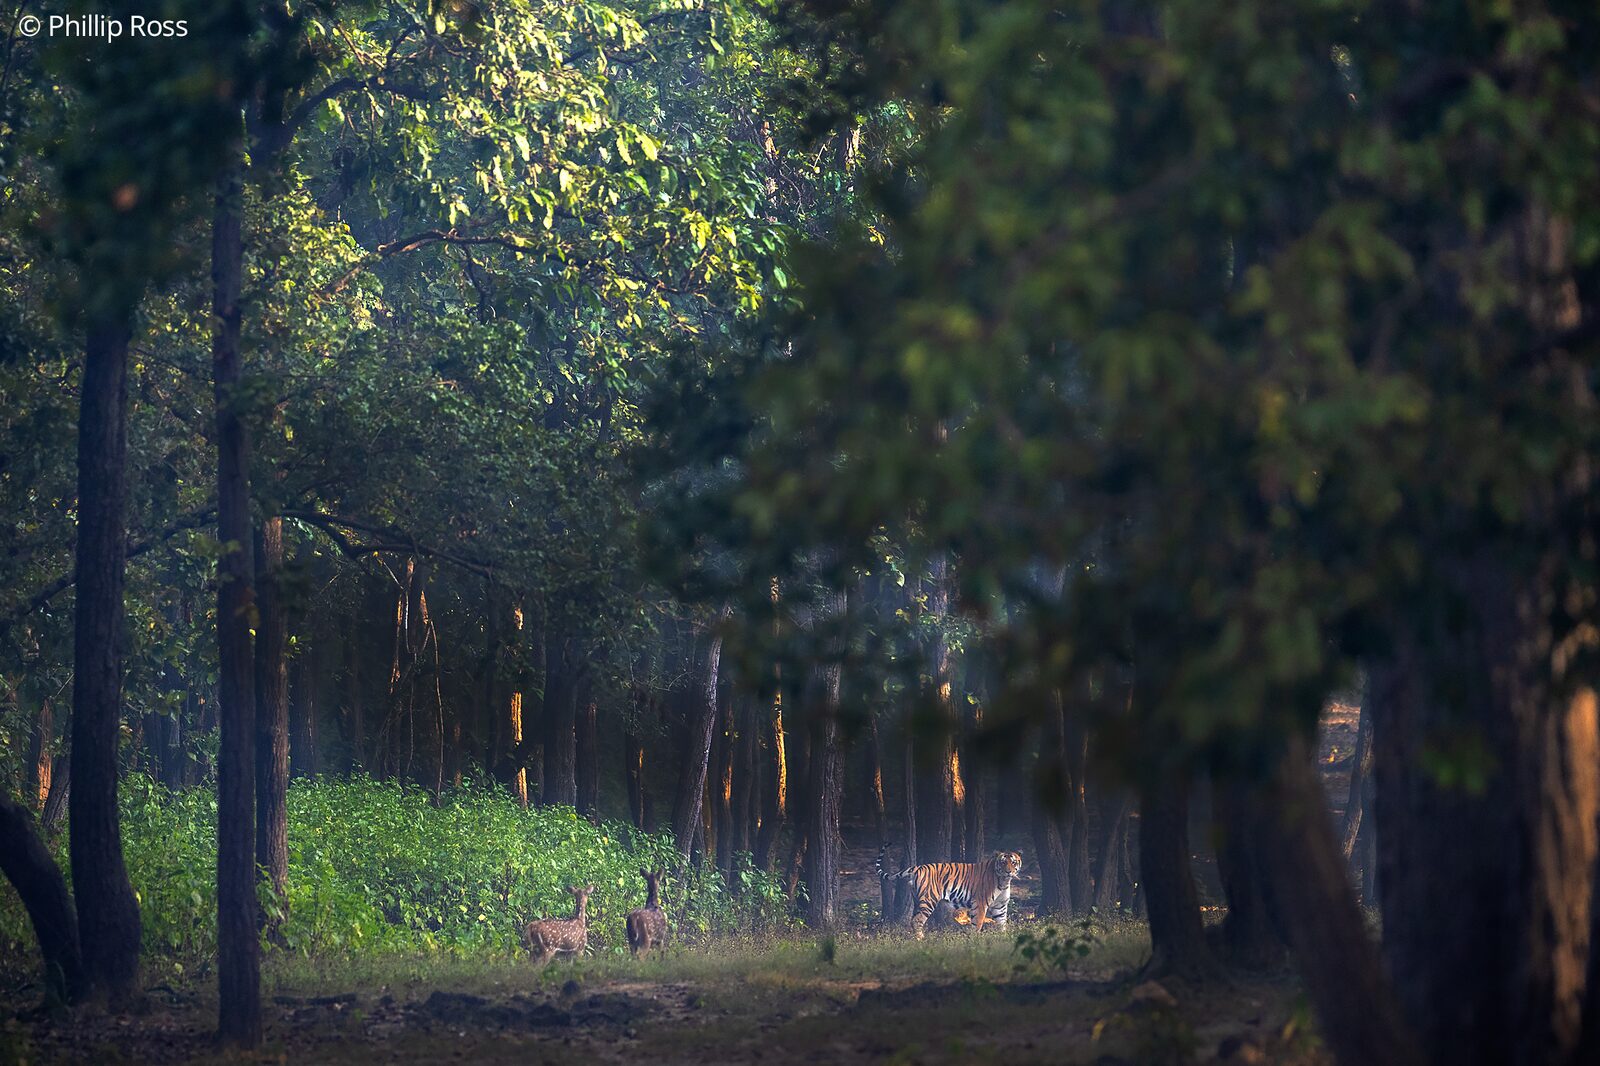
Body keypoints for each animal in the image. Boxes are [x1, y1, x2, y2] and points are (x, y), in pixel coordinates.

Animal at [877, 844, 1024, 939]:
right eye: (1003, 862)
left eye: (1013, 862)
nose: (1008, 871)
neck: (1004, 881)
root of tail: (917, 867)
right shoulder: (981, 904)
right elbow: (977, 923)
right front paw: (975, 941)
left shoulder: (1000, 906)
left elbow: (1002, 923)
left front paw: (1003, 938)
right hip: (928, 900)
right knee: (917, 920)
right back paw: (920, 940)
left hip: (917, 899)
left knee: (913, 919)